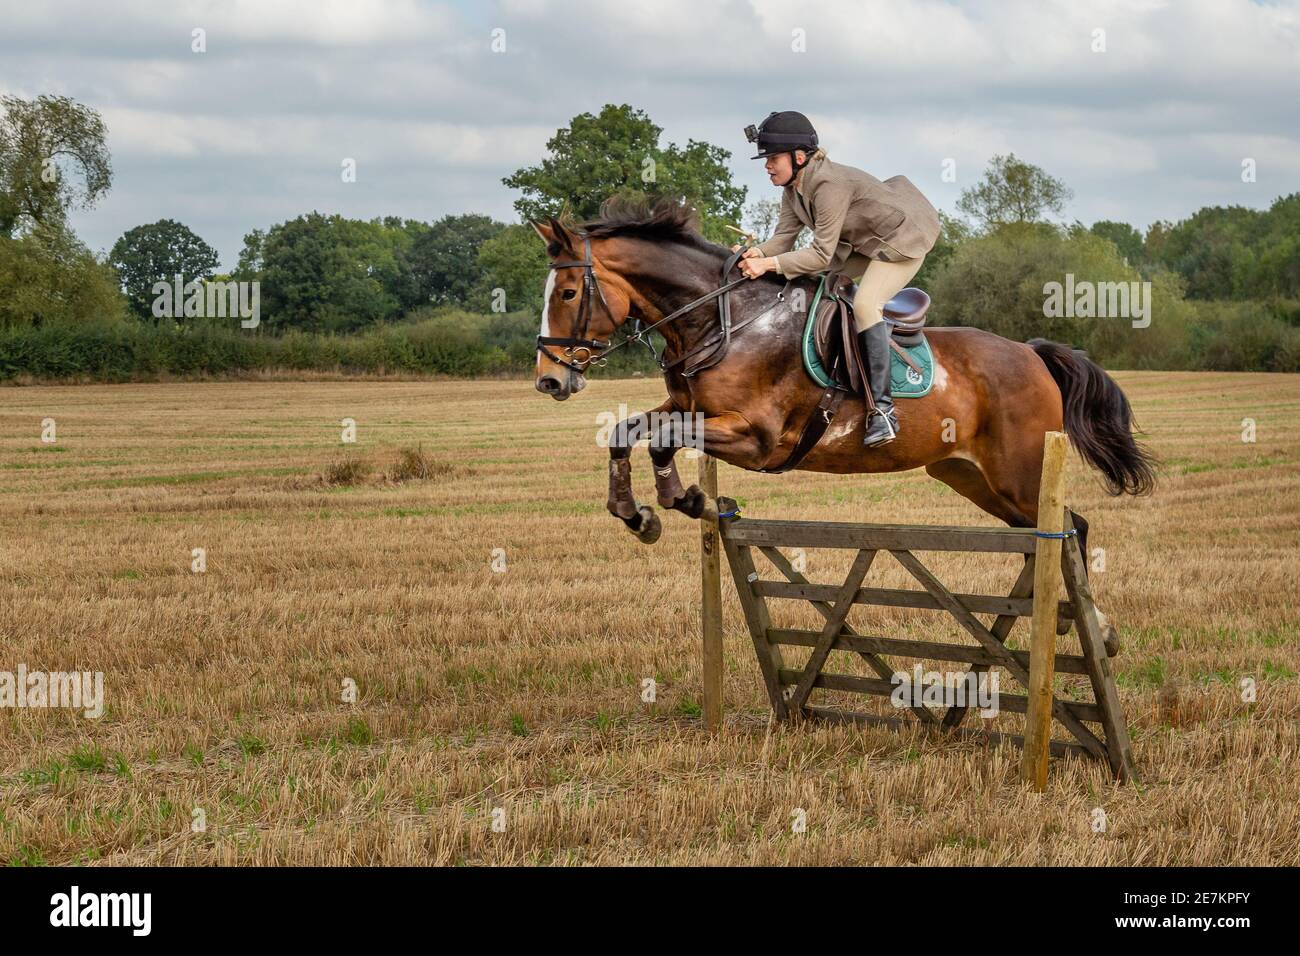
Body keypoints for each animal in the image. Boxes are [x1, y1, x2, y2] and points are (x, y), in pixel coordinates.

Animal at [530, 197, 1159, 595]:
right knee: (1047, 531)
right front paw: (637, 514)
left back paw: (1094, 631)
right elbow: (627, 431)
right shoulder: (691, 410)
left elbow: (662, 441)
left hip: (1022, 473)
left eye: (568, 292)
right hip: (976, 479)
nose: (550, 381)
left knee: (1072, 529)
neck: (721, 321)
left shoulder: (757, 439)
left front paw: (679, 500)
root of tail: (1031, 354)